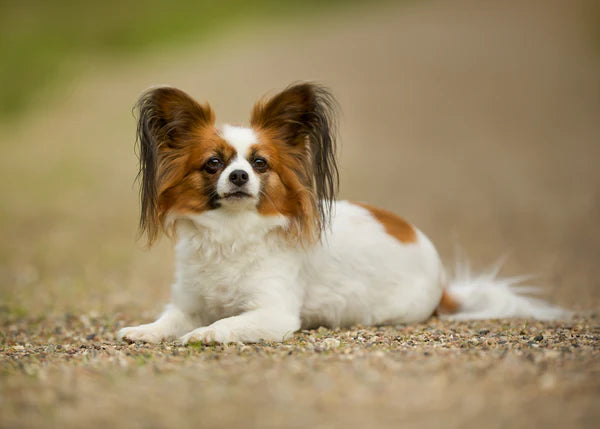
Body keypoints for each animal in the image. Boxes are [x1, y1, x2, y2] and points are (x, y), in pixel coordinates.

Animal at [117, 83, 568, 344]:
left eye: (260, 164)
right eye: (213, 164)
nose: (240, 175)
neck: (232, 231)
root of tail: (443, 283)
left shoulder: (274, 312)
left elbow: (225, 324)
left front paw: (204, 335)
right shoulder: (187, 301)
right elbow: (168, 320)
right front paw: (144, 330)